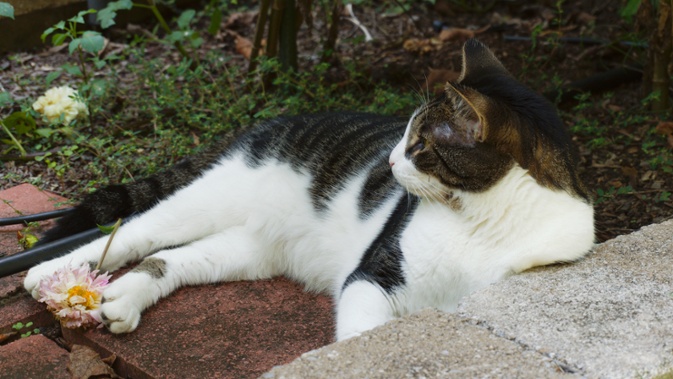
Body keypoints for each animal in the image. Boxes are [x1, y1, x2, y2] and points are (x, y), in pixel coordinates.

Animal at [22, 40, 592, 342]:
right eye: (406, 135)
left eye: (419, 144)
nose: (389, 160)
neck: (478, 219)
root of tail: (267, 123)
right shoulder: (374, 275)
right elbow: (363, 336)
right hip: (212, 196)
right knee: (133, 232)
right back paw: (48, 272)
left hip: (252, 248)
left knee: (175, 258)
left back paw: (124, 298)